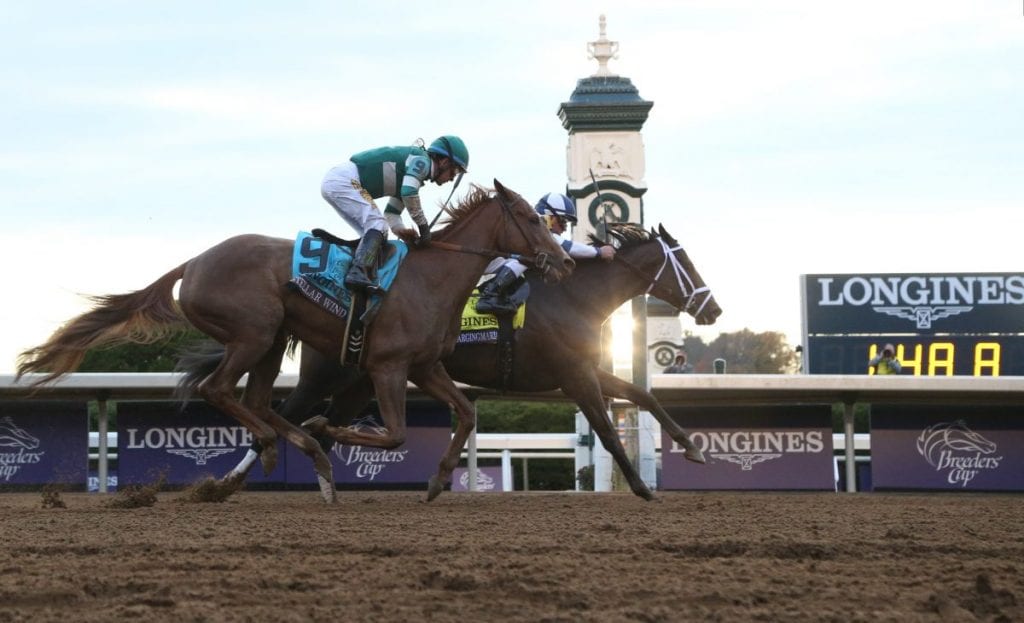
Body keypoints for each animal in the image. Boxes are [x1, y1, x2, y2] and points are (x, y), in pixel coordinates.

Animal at [16, 180, 573, 502]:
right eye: (530, 218)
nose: (565, 261)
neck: (430, 278)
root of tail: (193, 263)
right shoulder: (388, 367)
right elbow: (394, 435)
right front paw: (329, 428)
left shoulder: (425, 367)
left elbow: (466, 412)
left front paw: (437, 481)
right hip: (254, 333)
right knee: (222, 391)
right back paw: (283, 448)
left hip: (270, 340)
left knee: (262, 401)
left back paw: (300, 455)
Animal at [180, 221, 720, 497]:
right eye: (687, 264)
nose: (713, 308)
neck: (573, 296)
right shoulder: (575, 377)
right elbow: (607, 430)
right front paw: (643, 488)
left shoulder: (584, 370)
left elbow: (643, 395)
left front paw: (690, 448)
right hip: (328, 376)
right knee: (282, 416)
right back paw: (229, 482)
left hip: (360, 383)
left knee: (316, 426)